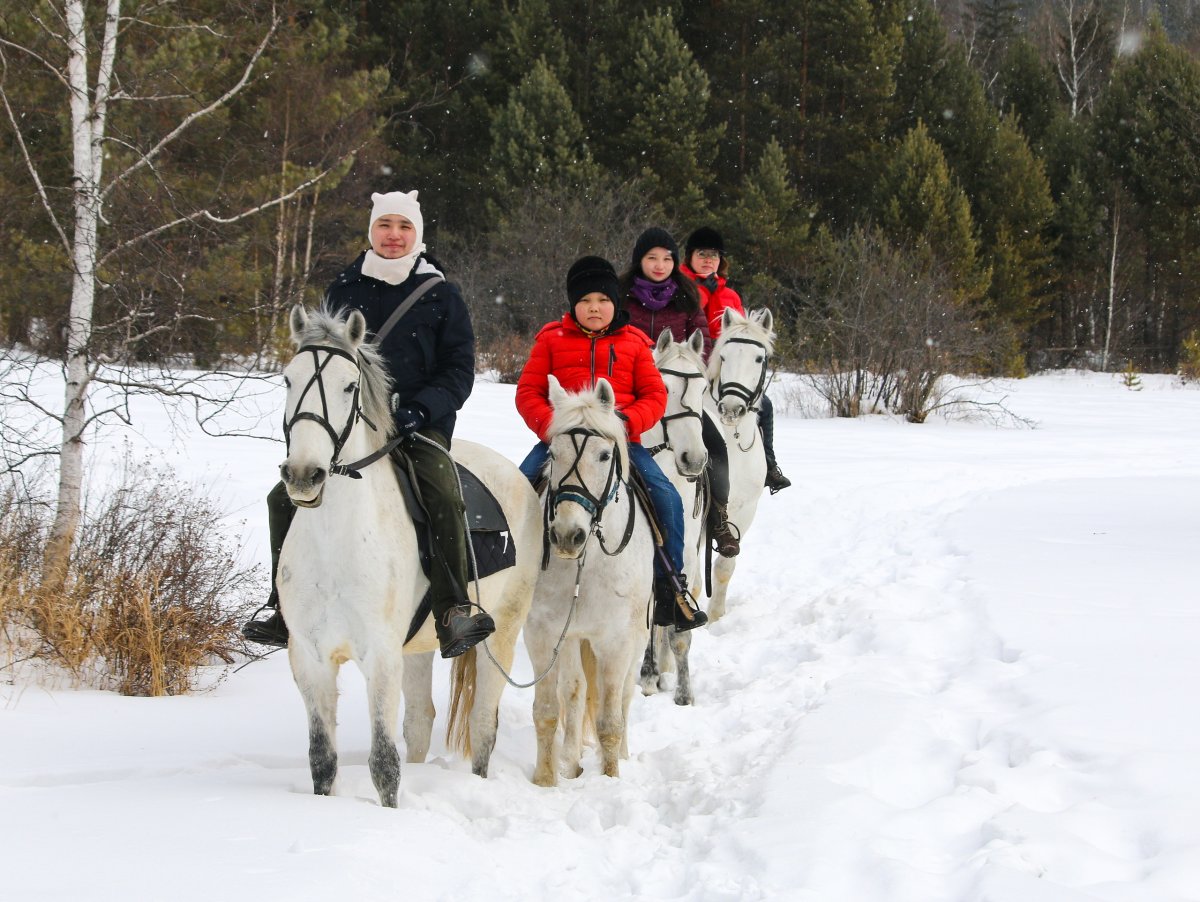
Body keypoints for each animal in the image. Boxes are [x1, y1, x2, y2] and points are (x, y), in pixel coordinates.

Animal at [276, 307, 540, 806]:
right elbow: (323, 762)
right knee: (419, 721)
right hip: (418, 647)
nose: (303, 475)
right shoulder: (310, 660)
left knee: (482, 722)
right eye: (287, 379)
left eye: (349, 386)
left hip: (504, 631)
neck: (336, 542)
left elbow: (384, 765)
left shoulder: (380, 658)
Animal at [528, 374, 657, 782]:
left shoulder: (616, 642)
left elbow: (610, 721)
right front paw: (547, 780)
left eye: (603, 455)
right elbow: (549, 710)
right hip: (573, 640)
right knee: (576, 689)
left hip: (636, 639)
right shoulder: (545, 634)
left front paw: (611, 777)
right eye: (553, 454)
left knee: (624, 698)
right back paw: (571, 760)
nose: (567, 535)